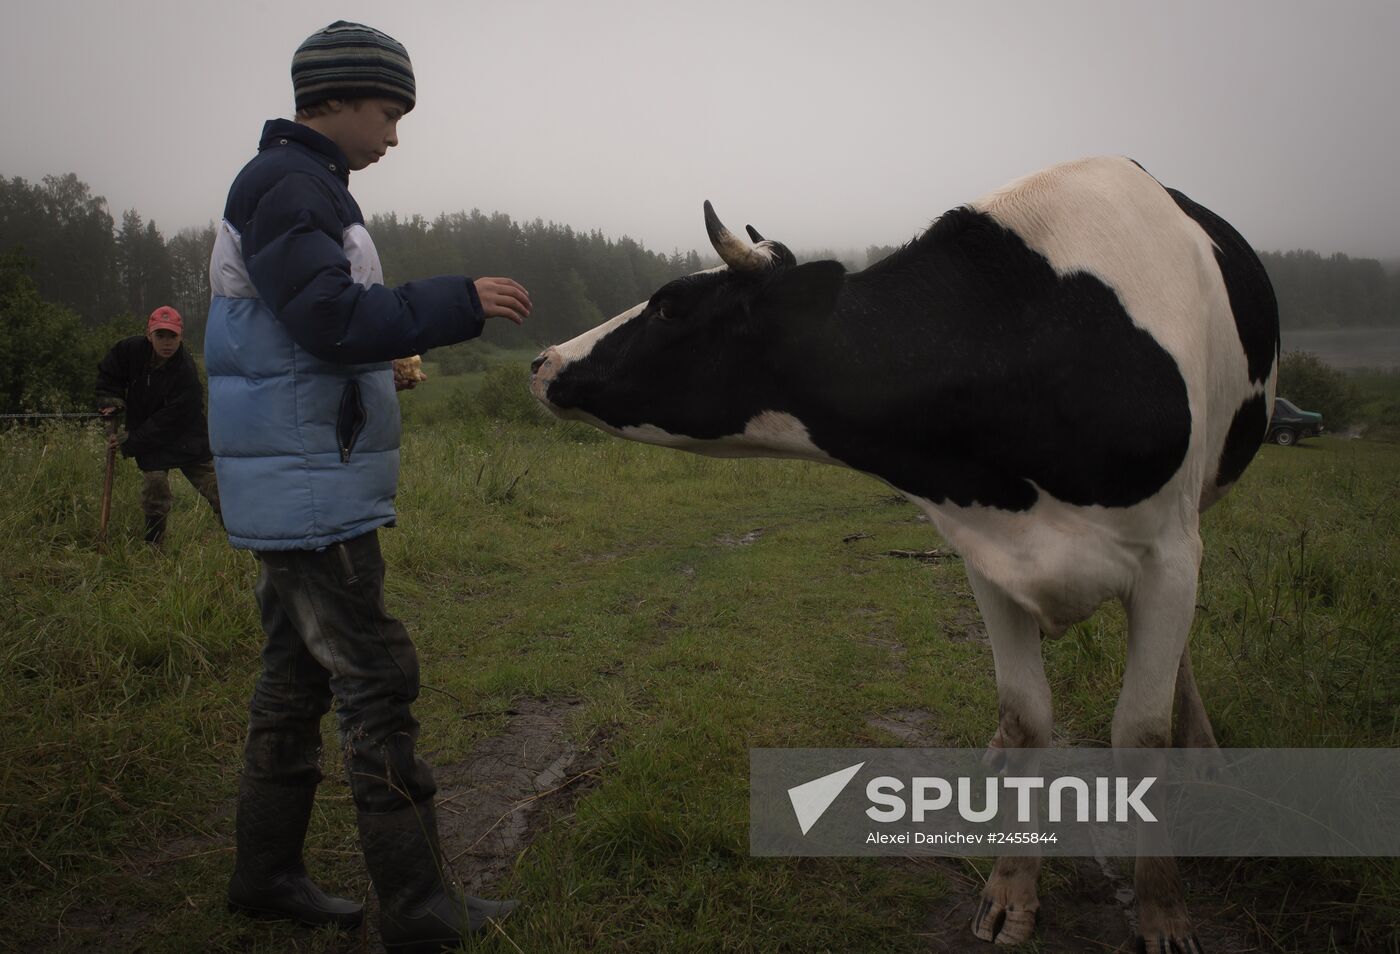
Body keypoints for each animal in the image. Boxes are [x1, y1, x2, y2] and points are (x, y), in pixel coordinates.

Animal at [526, 156, 1282, 946]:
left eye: (671, 306)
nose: (542, 360)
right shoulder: (990, 551)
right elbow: (1027, 713)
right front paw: (1010, 891)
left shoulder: (1169, 554)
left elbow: (1139, 731)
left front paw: (1163, 909)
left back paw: (1205, 752)